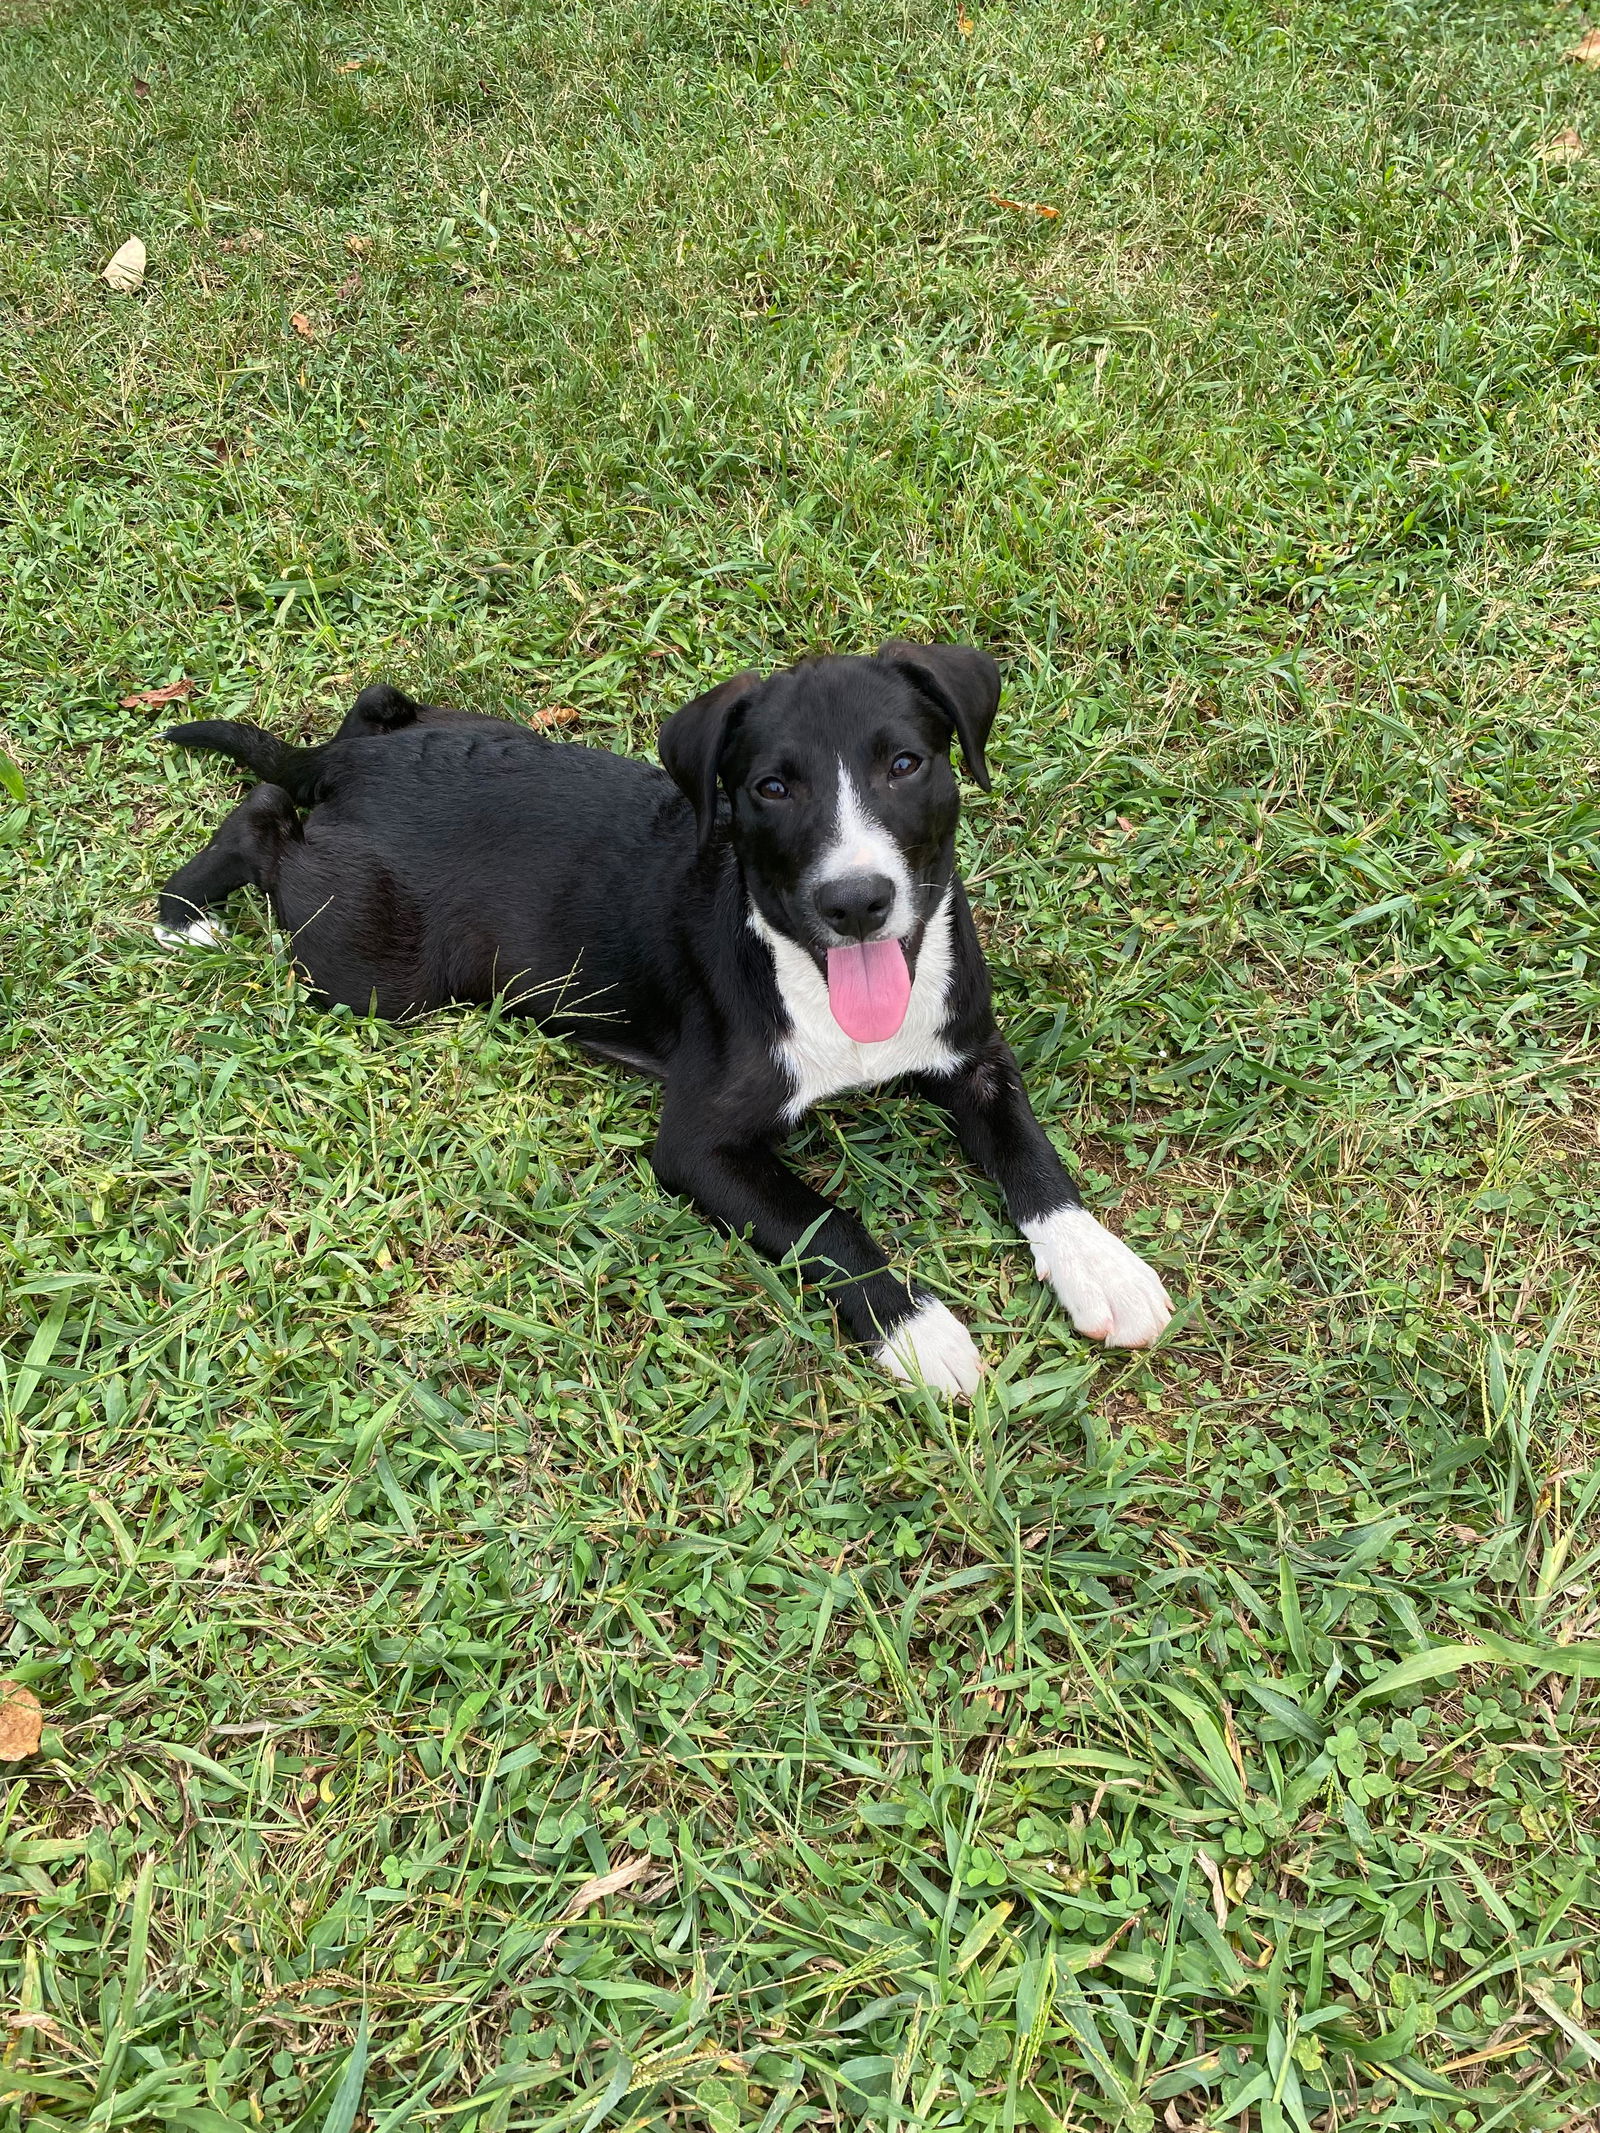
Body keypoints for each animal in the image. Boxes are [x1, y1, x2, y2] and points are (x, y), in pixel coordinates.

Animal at [156, 639, 1169, 1390]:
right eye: (772, 788)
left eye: (906, 764)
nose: (856, 901)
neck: (812, 972)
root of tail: (354, 763)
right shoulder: (698, 1147)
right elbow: (829, 1224)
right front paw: (920, 1332)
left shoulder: (973, 1055)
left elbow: (1031, 1154)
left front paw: (1102, 1265)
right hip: (370, 967)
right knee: (262, 813)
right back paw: (181, 910)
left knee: (350, 718)